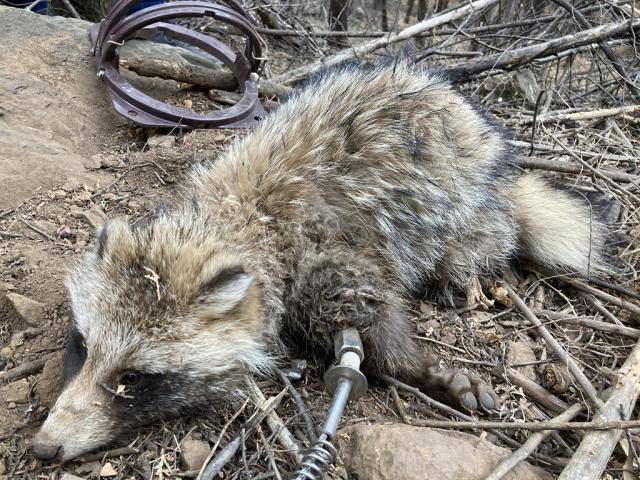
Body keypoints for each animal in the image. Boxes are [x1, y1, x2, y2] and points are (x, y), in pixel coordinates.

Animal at [33, 59, 604, 462]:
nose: (43, 448)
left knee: (476, 242)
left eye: (133, 378)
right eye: (81, 346)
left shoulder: (327, 259)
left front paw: (417, 366)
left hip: (467, 205)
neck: (239, 222)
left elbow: (376, 316)